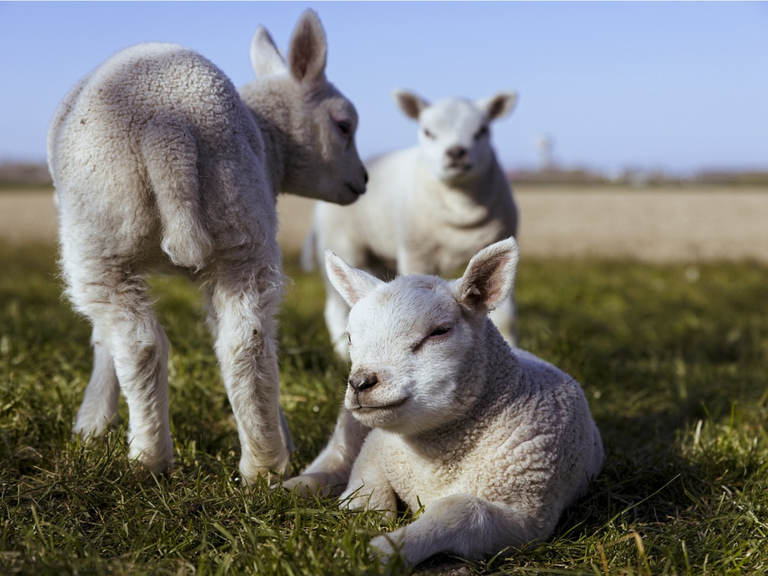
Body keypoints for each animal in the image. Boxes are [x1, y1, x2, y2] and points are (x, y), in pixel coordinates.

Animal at [47, 9, 368, 484]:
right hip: (241, 225)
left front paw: (91, 424)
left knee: (138, 344)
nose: (363, 181)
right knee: (245, 342)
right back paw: (264, 464)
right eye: (344, 125)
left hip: (101, 237)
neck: (271, 141)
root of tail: (169, 129)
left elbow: (102, 342)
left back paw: (149, 459)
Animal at [302, 89, 520, 360]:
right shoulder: (416, 253)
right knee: (335, 307)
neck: (460, 208)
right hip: (343, 242)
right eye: (427, 132)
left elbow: (506, 317)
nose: (456, 152)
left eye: (482, 130)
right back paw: (342, 353)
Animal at [310, 238, 604, 566]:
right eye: (349, 338)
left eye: (439, 331)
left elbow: (459, 510)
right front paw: (361, 517)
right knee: (336, 454)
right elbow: (367, 491)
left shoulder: (529, 519)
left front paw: (382, 551)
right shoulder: (376, 446)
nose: (360, 383)